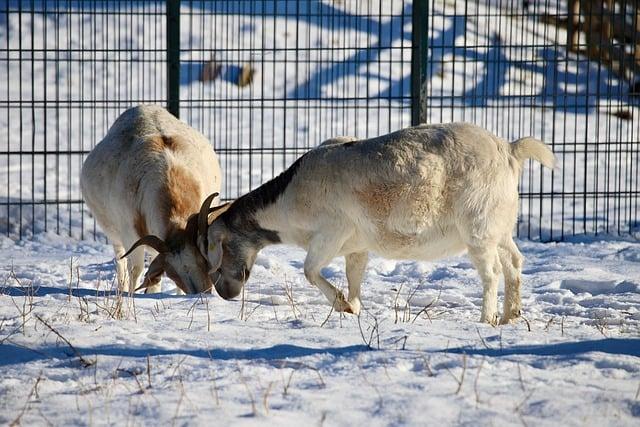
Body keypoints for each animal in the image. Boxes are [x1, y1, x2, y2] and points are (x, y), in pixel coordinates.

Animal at [81, 105, 221, 296]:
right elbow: (136, 269)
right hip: (114, 235)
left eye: (203, 258)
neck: (171, 171)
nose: (201, 293)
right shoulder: (129, 234)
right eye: (172, 272)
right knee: (120, 260)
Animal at [196, 123, 556, 324]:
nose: (225, 293)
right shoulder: (356, 247)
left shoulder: (331, 233)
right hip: (500, 228)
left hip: (478, 229)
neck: (289, 197)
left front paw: (342, 305)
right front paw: (354, 306)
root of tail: (509, 150)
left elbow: (310, 270)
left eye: (218, 252)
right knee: (514, 262)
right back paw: (511, 316)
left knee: (492, 272)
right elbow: (354, 276)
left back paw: (486, 319)